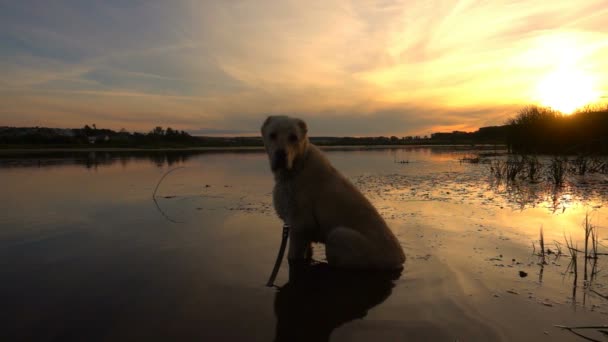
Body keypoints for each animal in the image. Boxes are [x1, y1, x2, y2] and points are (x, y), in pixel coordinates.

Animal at [260, 116, 404, 268]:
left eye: (293, 137)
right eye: (272, 135)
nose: (281, 155)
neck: (296, 168)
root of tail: (400, 260)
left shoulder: (299, 227)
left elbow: (292, 257)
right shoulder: (302, 231)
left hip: (338, 235)